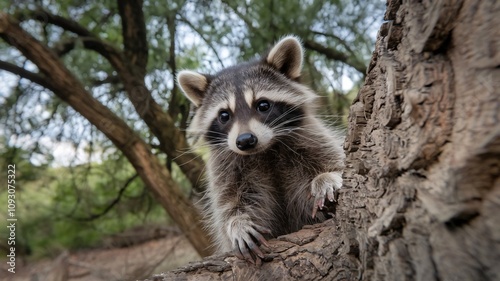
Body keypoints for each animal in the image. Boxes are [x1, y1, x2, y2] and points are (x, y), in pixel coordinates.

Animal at [178, 35, 346, 262]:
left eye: (263, 105)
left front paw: (327, 177)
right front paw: (237, 223)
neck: (265, 151)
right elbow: (227, 204)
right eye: (224, 115)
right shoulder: (225, 167)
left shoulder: (311, 137)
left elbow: (337, 160)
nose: (245, 140)